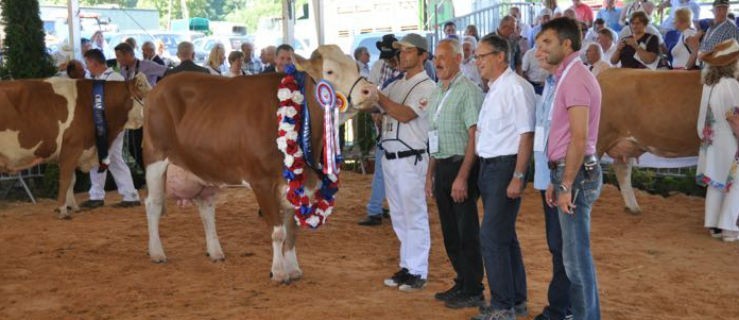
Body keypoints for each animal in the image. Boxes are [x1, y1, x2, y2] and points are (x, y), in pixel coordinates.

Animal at [0, 74, 152, 219]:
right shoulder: (72, 147)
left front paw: (72, 207)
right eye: (146, 91)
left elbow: (71, 181)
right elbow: (66, 179)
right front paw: (63, 211)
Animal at [142, 45, 378, 282]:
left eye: (356, 67)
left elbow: (292, 231)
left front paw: (293, 268)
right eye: (329, 71)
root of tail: (159, 86)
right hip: (155, 158)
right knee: (153, 204)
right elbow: (278, 232)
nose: (370, 91)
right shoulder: (261, 182)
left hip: (204, 166)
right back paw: (157, 252)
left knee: (206, 207)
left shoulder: (296, 183)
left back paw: (215, 251)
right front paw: (279, 271)